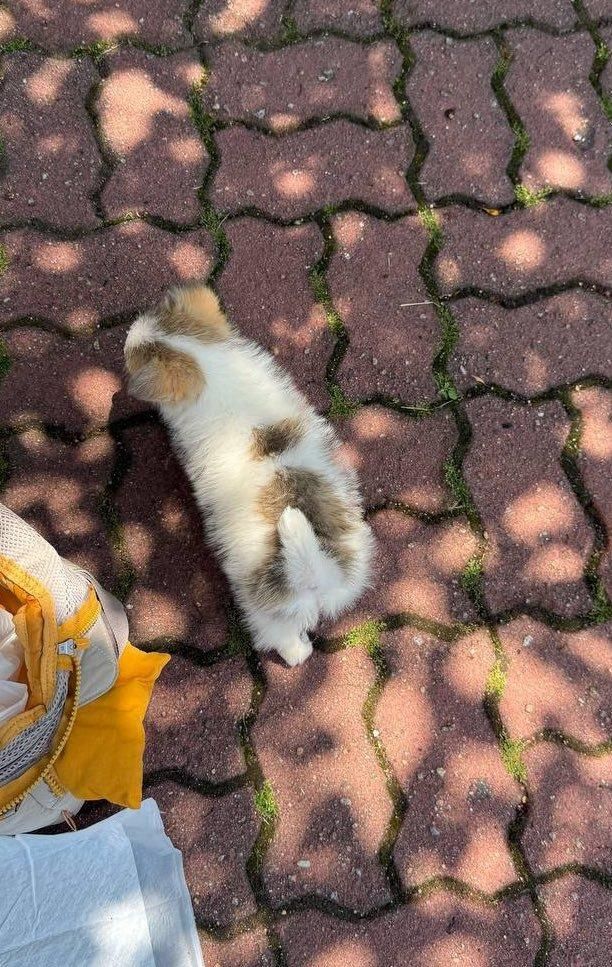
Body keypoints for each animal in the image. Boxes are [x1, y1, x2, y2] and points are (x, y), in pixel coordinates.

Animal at [124, 285, 373, 666]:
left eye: (133, 355)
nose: (126, 334)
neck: (209, 364)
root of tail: (314, 572)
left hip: (266, 614)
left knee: (287, 645)